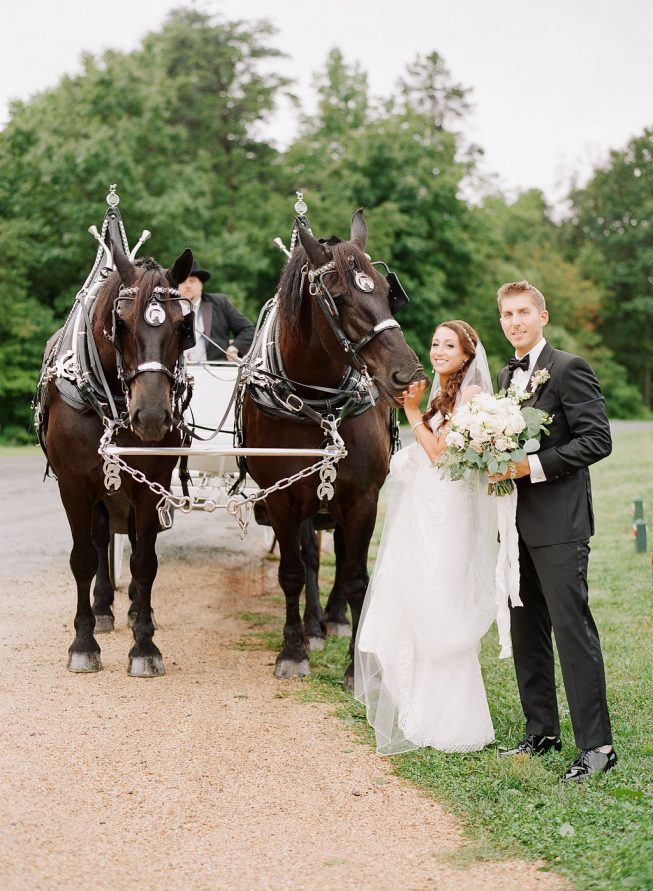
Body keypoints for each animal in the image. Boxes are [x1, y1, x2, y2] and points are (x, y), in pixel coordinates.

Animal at [242, 214, 426, 688]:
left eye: (386, 293)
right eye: (339, 298)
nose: (408, 374)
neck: (317, 404)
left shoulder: (362, 497)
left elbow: (358, 575)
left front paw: (356, 666)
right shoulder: (282, 497)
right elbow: (292, 571)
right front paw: (294, 650)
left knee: (342, 557)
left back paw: (336, 619)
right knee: (310, 557)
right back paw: (314, 625)